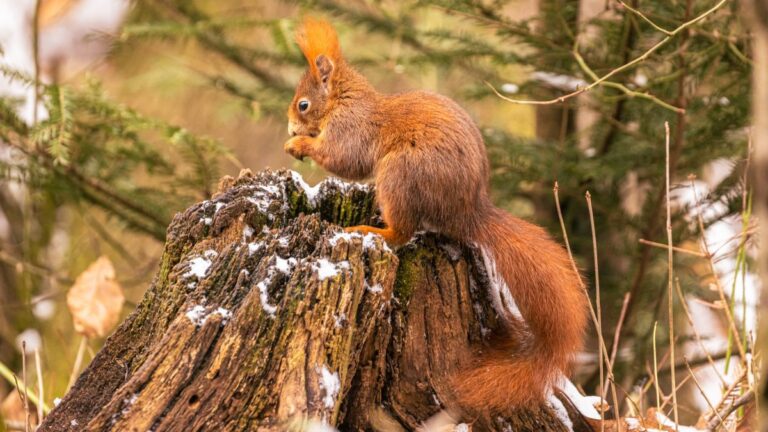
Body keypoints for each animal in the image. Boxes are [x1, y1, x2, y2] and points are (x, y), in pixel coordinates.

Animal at [284, 17, 589, 415]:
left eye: (303, 104)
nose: (290, 126)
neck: (343, 100)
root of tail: (468, 212)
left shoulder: (350, 129)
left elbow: (343, 159)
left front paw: (299, 144)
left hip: (400, 174)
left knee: (403, 232)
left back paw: (374, 230)